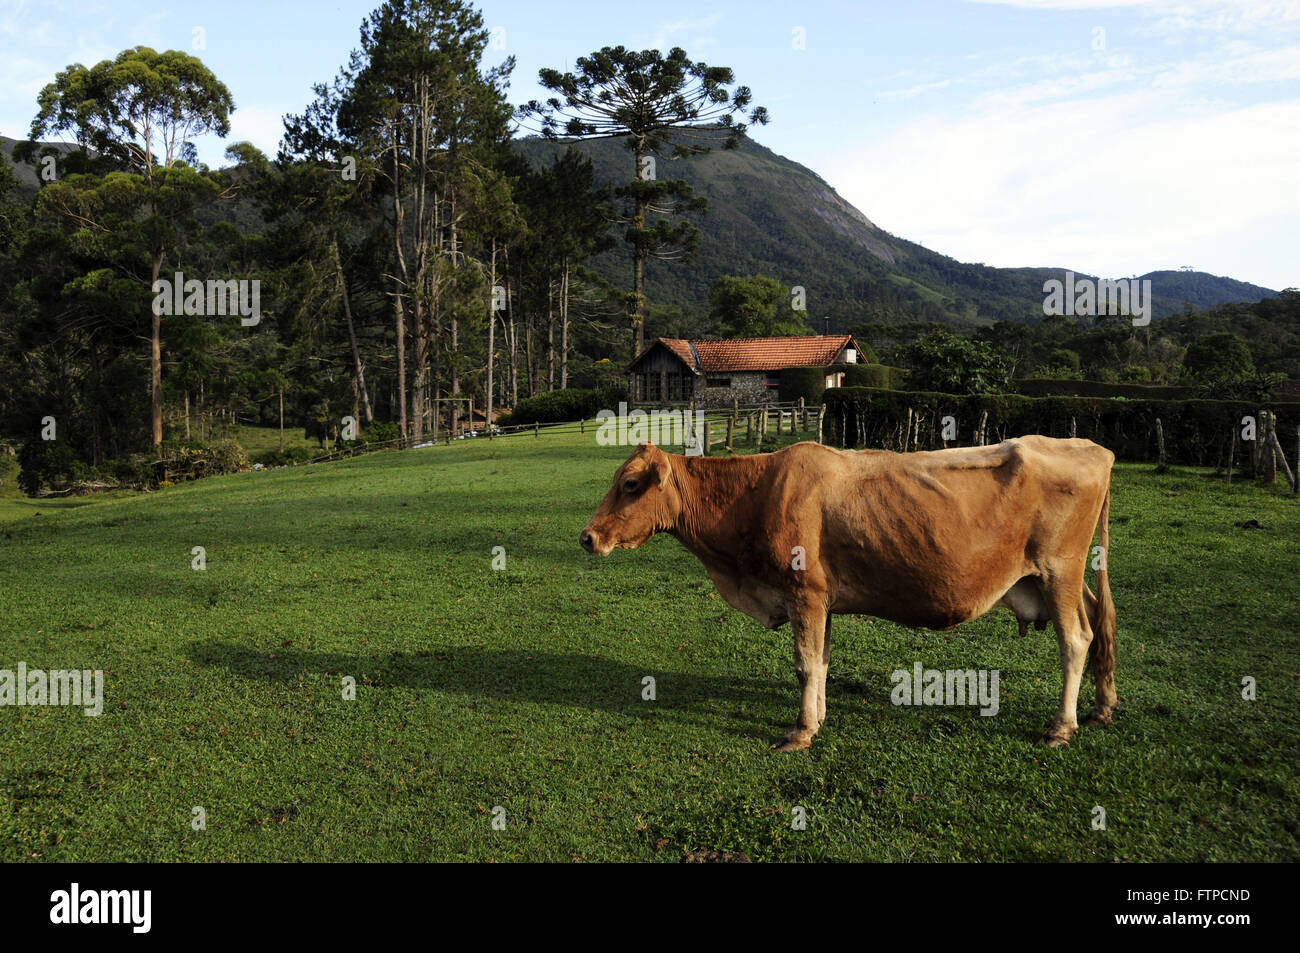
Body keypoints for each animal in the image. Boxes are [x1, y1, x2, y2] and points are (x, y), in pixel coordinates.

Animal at [579, 434, 1118, 748]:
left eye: (630, 484)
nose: (587, 537)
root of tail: (1095, 448)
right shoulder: (824, 602)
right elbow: (821, 662)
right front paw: (816, 719)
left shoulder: (804, 593)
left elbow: (804, 664)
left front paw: (800, 732)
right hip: (1060, 579)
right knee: (1098, 626)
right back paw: (1101, 707)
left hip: (1059, 571)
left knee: (1076, 641)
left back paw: (1062, 726)